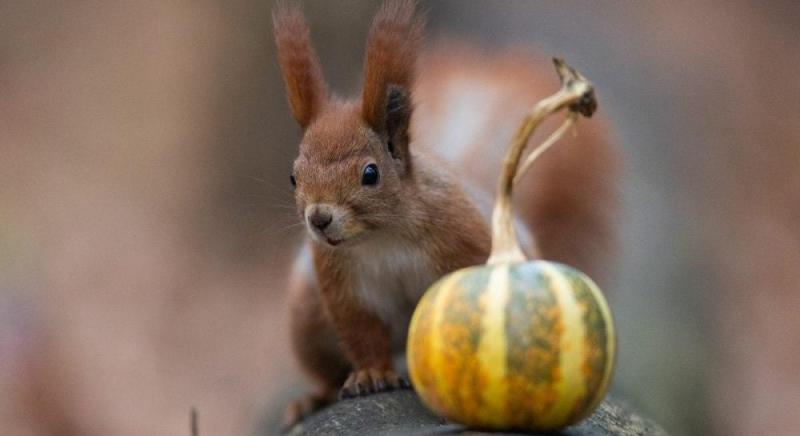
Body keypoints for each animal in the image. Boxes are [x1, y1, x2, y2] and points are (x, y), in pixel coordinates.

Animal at [272, 0, 616, 426]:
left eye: (370, 173)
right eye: (293, 176)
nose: (318, 219)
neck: (382, 237)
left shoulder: (463, 237)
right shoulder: (341, 284)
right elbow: (361, 333)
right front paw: (371, 374)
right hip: (308, 318)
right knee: (325, 371)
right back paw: (311, 399)